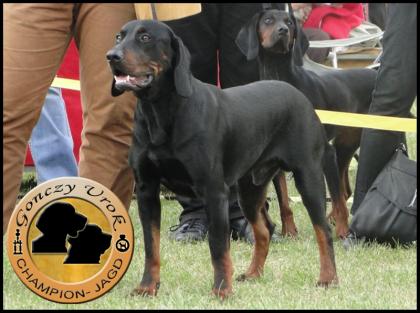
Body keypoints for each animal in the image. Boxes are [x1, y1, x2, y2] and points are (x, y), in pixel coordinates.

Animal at [107, 18, 338, 298]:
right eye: (119, 36)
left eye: (145, 38)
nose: (112, 56)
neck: (162, 112)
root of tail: (298, 94)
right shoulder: (146, 190)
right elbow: (152, 247)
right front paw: (147, 286)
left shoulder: (214, 192)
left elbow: (218, 247)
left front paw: (221, 290)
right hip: (250, 188)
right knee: (264, 231)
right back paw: (253, 274)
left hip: (308, 177)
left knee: (323, 231)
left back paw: (328, 278)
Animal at [236, 3, 378, 238]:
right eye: (268, 21)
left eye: (289, 22)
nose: (283, 31)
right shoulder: (274, 158)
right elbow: (284, 199)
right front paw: (289, 231)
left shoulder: (325, 153)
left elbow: (336, 199)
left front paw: (341, 233)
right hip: (344, 146)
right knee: (345, 188)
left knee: (341, 193)